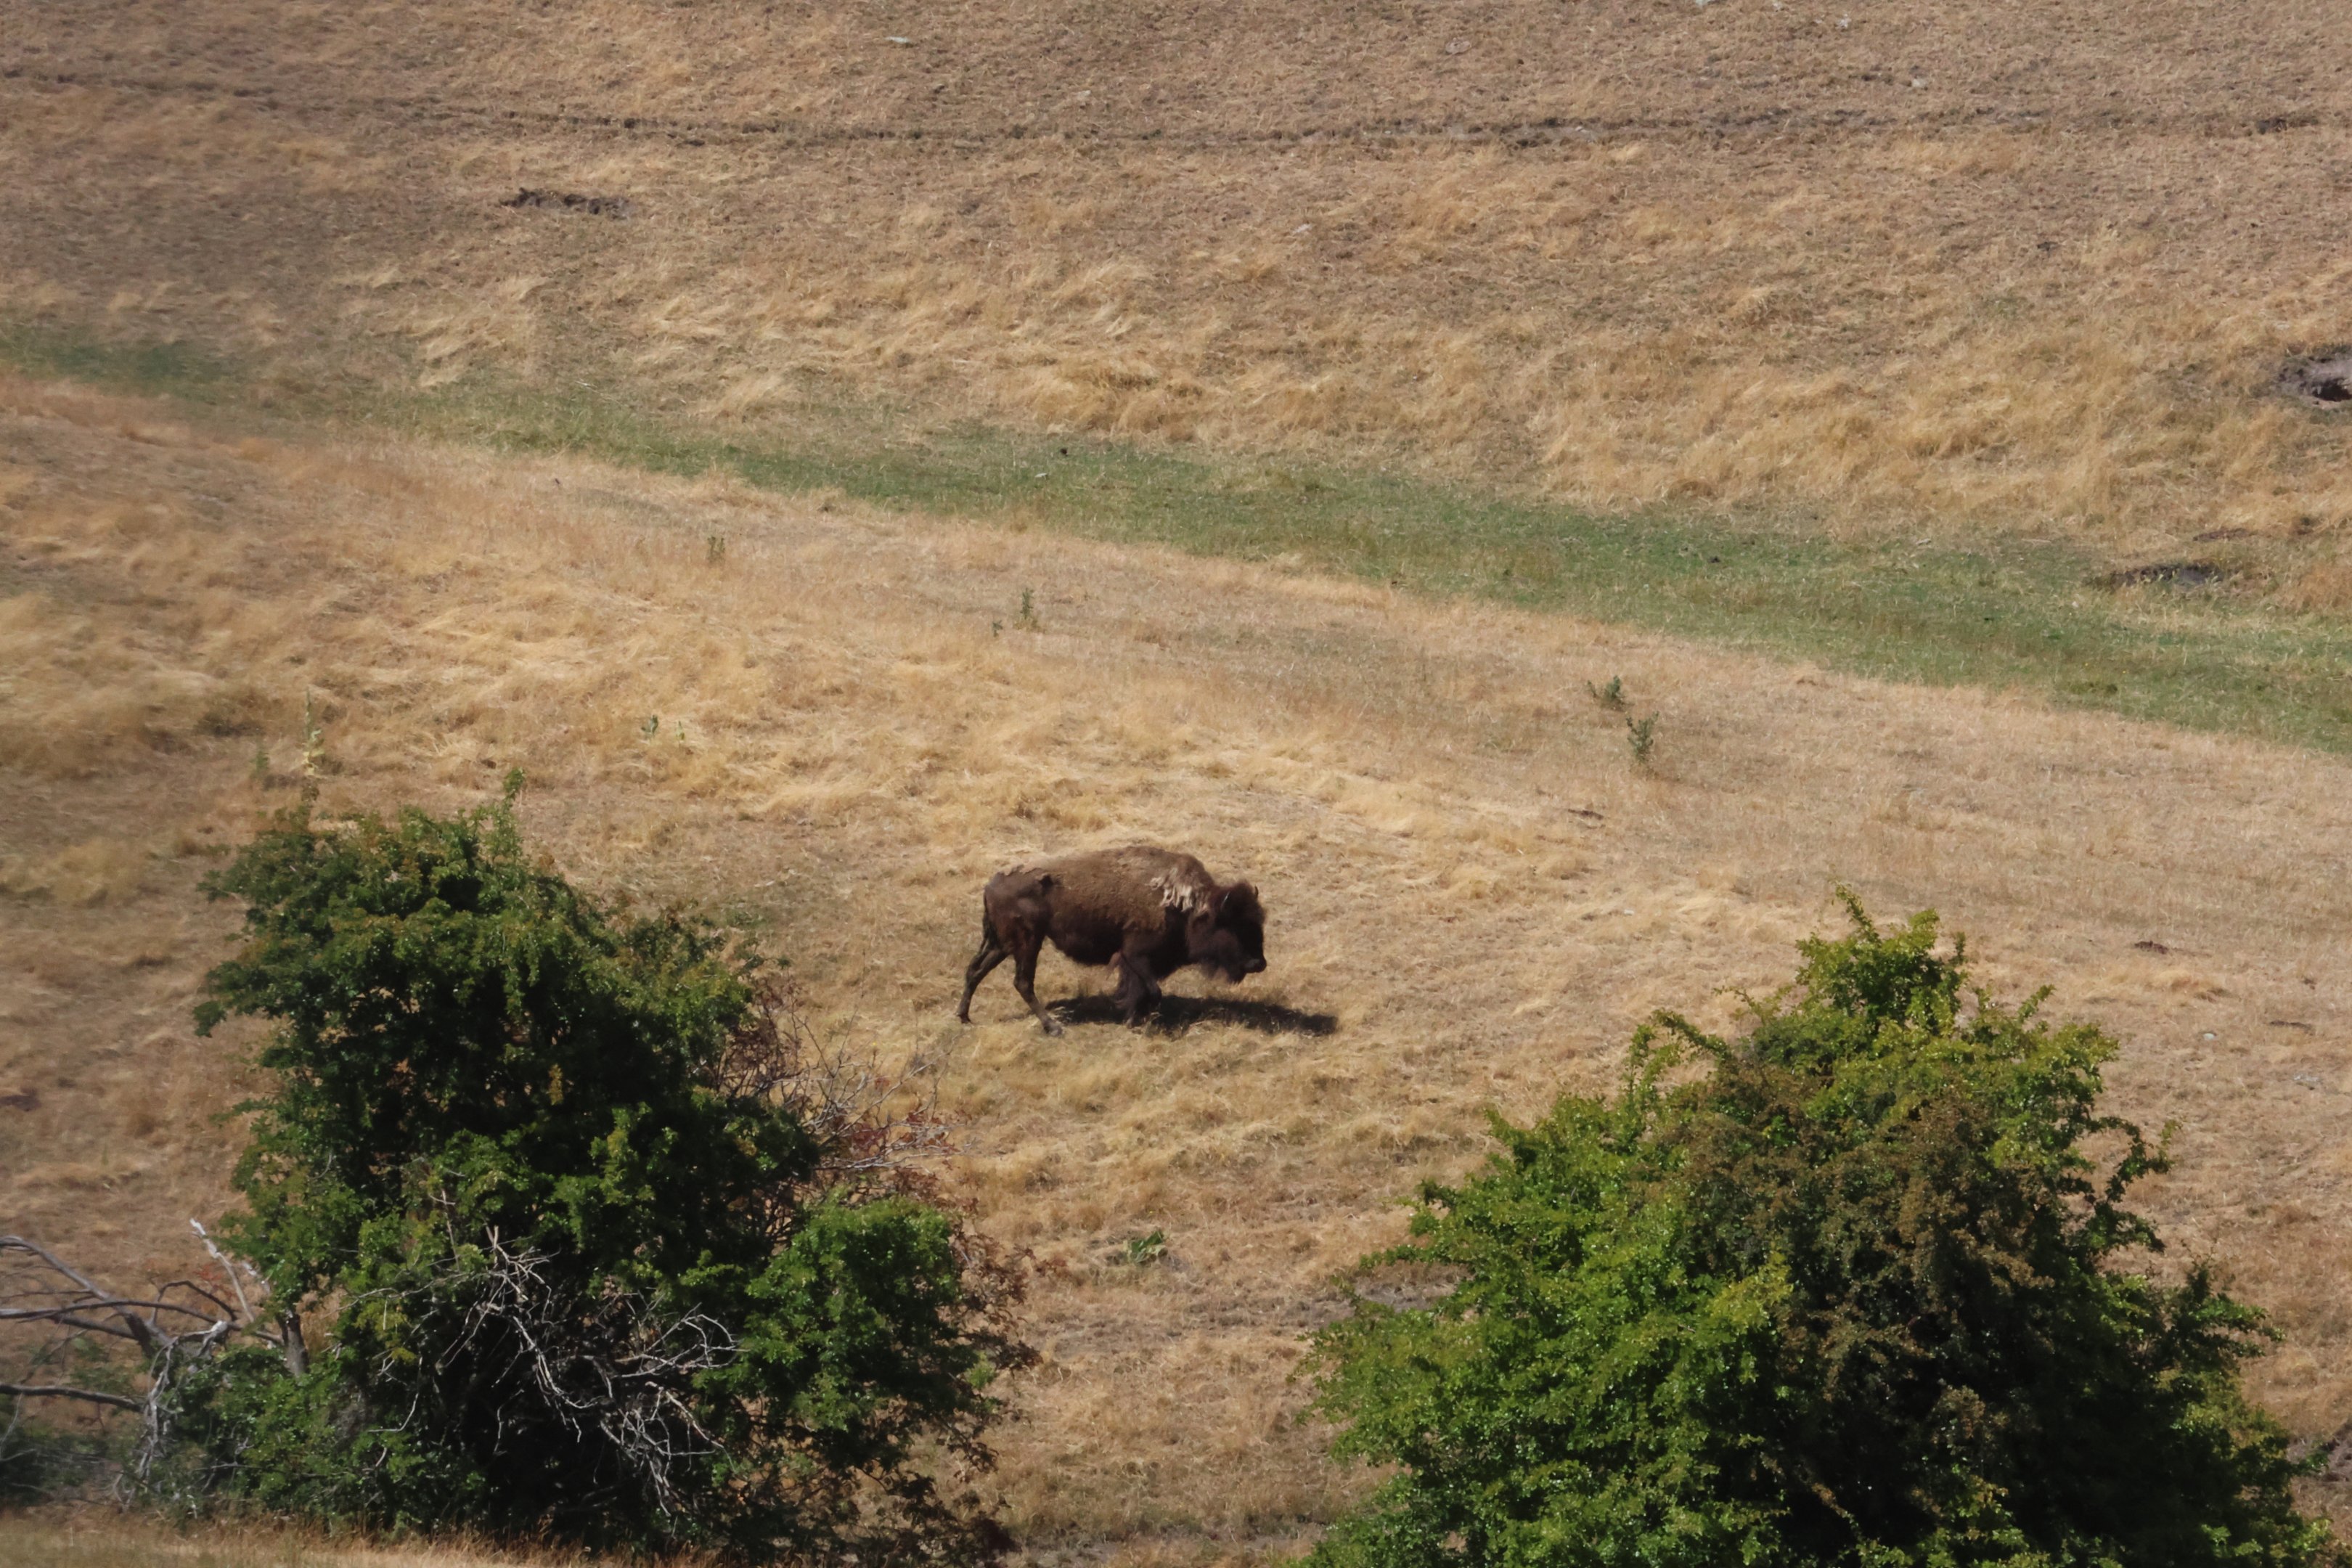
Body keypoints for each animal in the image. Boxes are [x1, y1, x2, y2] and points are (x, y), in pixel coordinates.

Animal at [956, 845, 1267, 1034]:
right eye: (1234, 926)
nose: (1259, 963)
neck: (1185, 907)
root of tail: (990, 886)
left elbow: (1140, 990)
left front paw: (1131, 1017)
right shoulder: (1135, 956)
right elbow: (1152, 991)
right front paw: (1138, 1021)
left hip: (1003, 944)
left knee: (975, 970)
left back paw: (964, 1017)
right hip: (1027, 943)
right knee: (1021, 982)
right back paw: (1054, 1027)